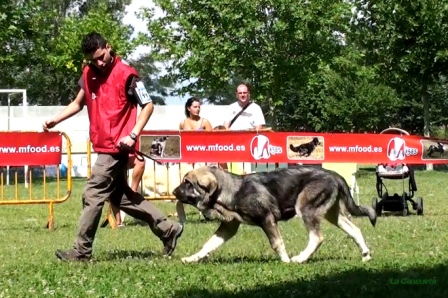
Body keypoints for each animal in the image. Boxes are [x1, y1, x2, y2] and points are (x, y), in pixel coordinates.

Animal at [173, 165, 376, 264]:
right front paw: (192, 259)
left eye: (188, 183)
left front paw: (285, 261)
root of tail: (335, 175)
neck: (232, 191)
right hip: (332, 214)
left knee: (317, 237)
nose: (174, 192)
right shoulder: (228, 227)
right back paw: (365, 255)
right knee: (355, 230)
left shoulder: (267, 219)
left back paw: (299, 259)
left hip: (305, 208)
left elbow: (277, 243)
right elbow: (208, 245)